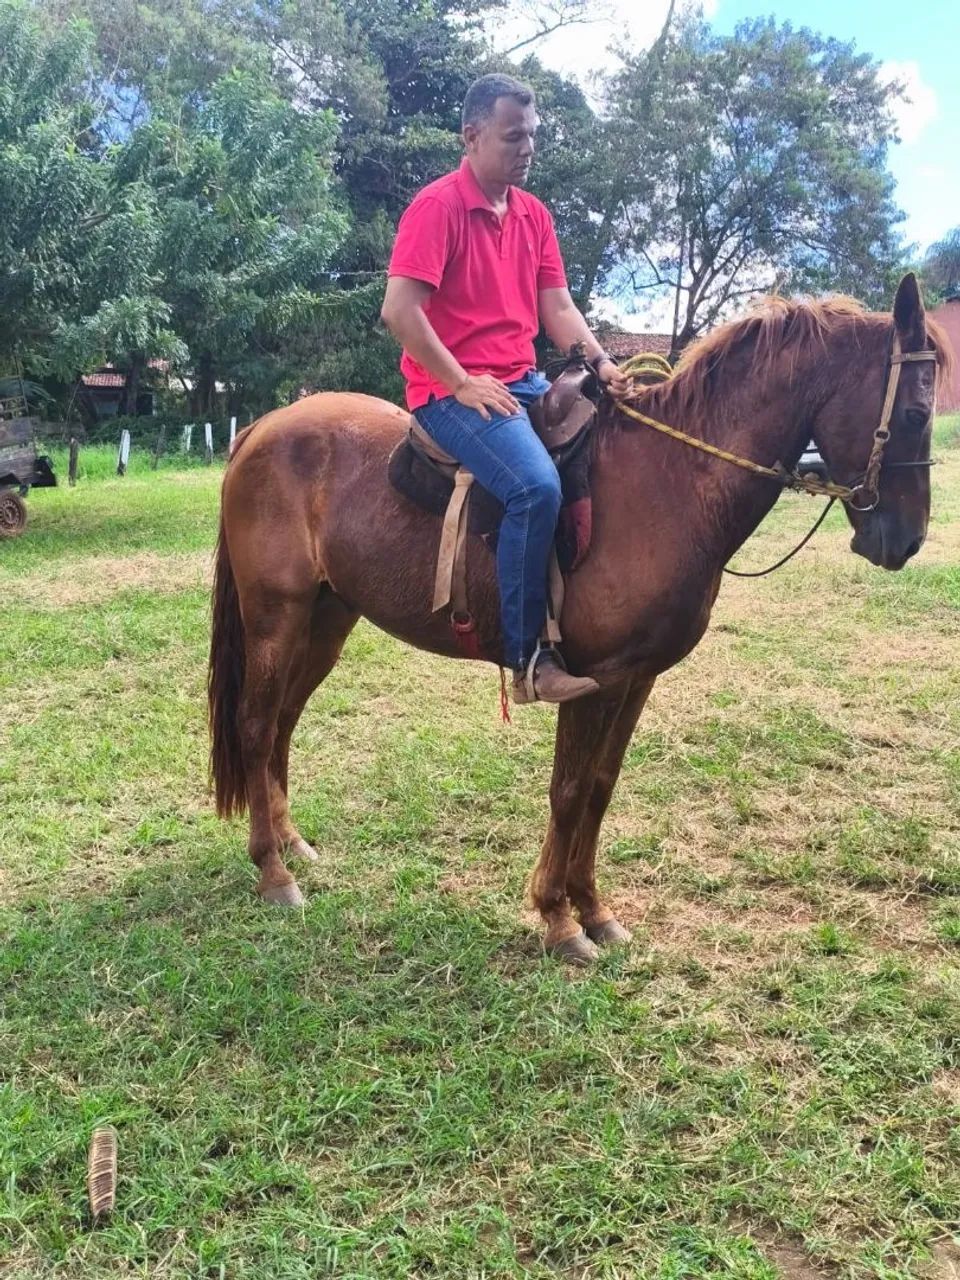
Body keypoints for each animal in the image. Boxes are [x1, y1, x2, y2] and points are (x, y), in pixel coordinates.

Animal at [208, 273, 949, 965]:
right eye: (916, 411)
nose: (905, 541)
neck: (672, 480)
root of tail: (262, 429)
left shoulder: (637, 679)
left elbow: (598, 789)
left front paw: (594, 910)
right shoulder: (593, 679)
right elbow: (567, 791)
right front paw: (558, 920)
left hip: (327, 620)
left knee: (282, 722)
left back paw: (291, 843)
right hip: (275, 617)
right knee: (255, 723)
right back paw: (272, 871)